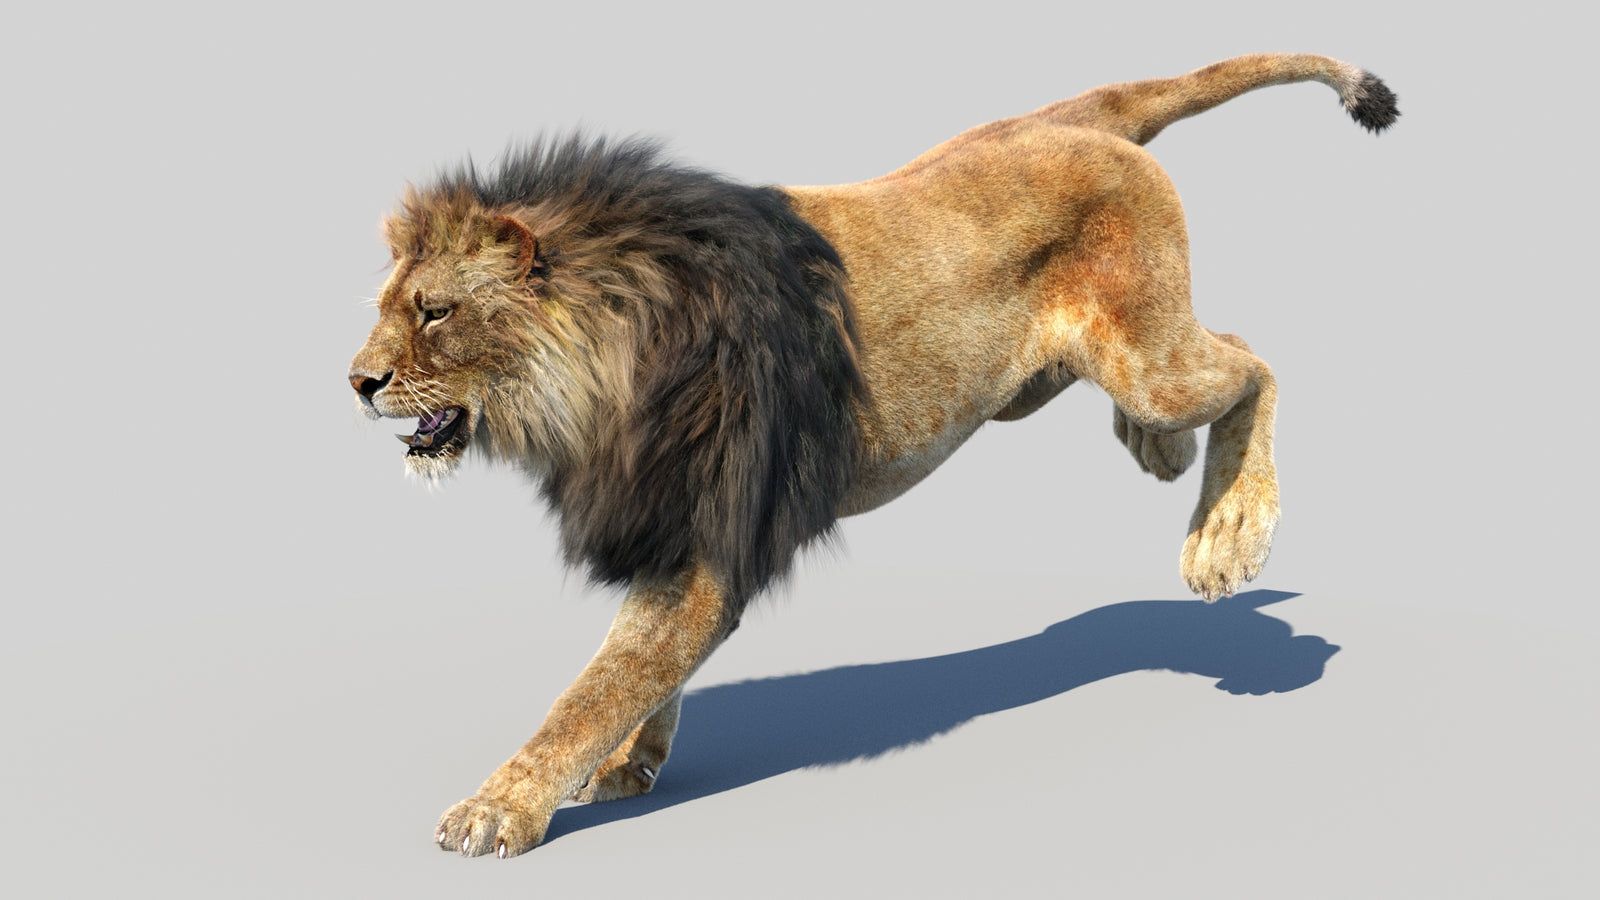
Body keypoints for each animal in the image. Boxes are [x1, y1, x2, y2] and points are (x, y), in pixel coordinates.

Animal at [348, 53, 1397, 858]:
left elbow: (598, 685)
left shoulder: (709, 534)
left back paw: (1227, 533)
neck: (603, 370)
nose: (355, 382)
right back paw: (1159, 455)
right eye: (387, 306)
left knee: (1255, 362)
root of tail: (1063, 118)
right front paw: (632, 764)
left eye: (435, 312)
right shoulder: (675, 519)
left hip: (1151, 358)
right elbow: (640, 680)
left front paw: (498, 809)